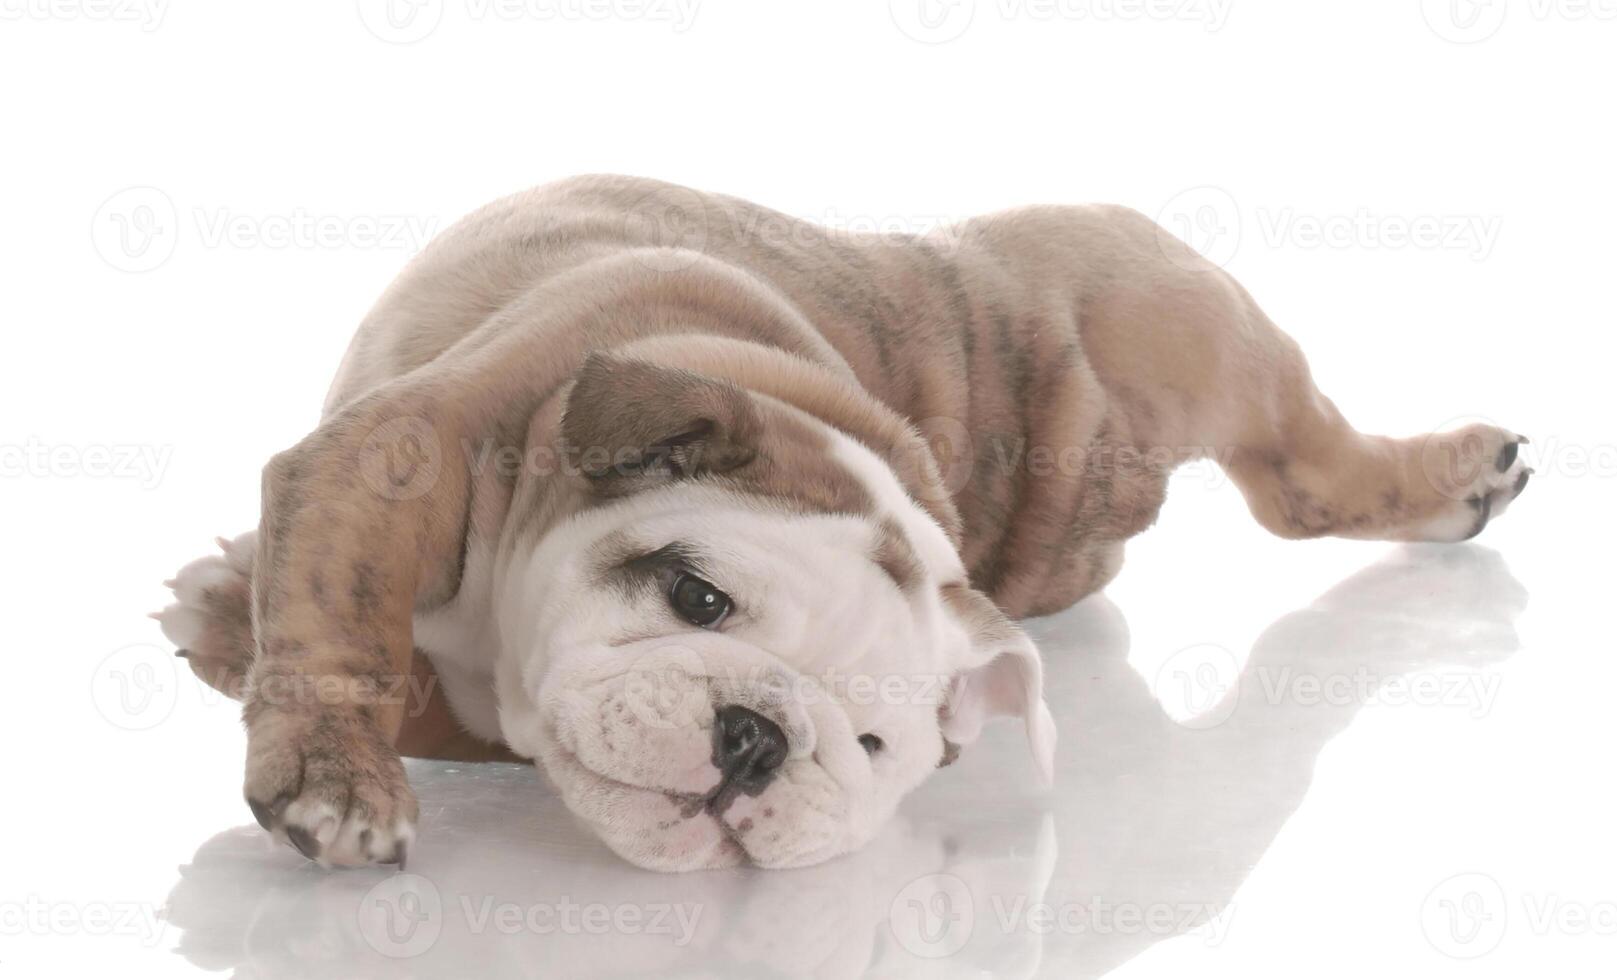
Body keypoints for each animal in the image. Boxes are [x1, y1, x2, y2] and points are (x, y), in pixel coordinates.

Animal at [154, 176, 1526, 873]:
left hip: (1215, 360)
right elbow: (344, 613)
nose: (760, 736)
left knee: (1311, 476)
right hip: (1176, 303)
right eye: (696, 595)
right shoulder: (396, 451)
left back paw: (1457, 473)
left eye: (874, 740)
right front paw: (333, 771)